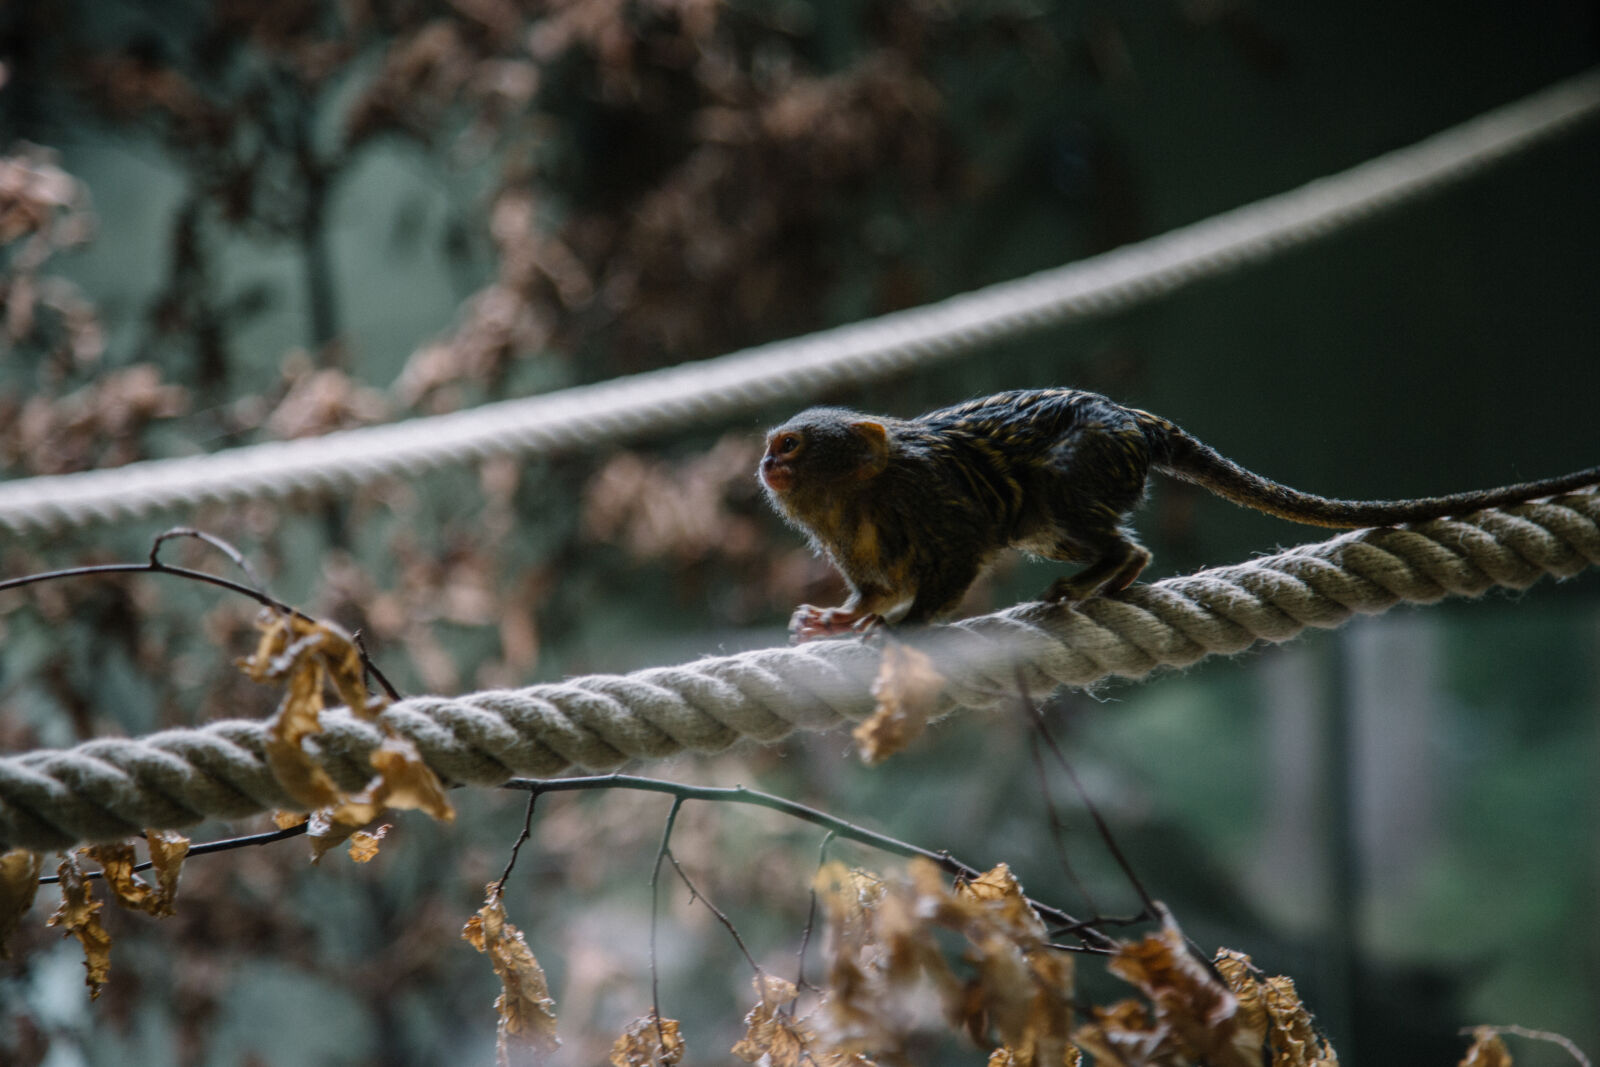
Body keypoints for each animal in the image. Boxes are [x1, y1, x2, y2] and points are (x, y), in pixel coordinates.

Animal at [756, 388, 1600, 642]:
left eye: (792, 445)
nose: (767, 463)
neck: (862, 496)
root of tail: (1131, 418)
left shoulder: (935, 500)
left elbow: (953, 564)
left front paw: (902, 627)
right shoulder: (856, 543)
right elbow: (874, 585)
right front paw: (845, 617)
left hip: (1088, 459)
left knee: (1066, 506)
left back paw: (1109, 572)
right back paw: (1111, 577)